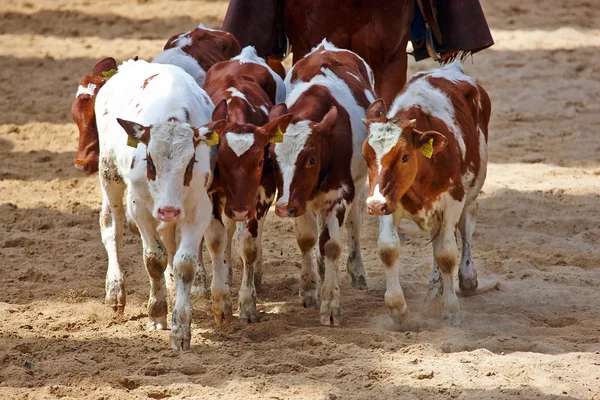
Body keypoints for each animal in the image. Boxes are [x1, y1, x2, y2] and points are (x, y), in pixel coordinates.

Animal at [95, 59, 226, 350]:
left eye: (190, 163)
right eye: (150, 161)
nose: (168, 209)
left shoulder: (199, 207)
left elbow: (184, 264)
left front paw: (180, 329)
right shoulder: (139, 206)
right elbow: (154, 259)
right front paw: (156, 312)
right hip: (109, 174)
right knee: (111, 228)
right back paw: (114, 290)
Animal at [203, 47, 290, 324]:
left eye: (261, 160)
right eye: (220, 162)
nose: (241, 210)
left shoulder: (262, 196)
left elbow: (248, 245)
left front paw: (248, 304)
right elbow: (216, 240)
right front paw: (221, 301)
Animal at [268, 40, 372, 326]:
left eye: (311, 159)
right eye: (271, 157)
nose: (283, 208)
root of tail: (328, 47)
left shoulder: (340, 194)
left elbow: (332, 244)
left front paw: (330, 305)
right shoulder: (299, 199)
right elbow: (307, 239)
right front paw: (308, 289)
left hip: (359, 184)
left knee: (355, 223)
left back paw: (357, 271)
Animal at [364, 61, 490, 324]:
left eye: (404, 156)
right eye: (366, 155)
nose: (373, 205)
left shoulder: (453, 200)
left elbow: (447, 254)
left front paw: (450, 311)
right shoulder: (389, 202)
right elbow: (388, 249)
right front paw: (398, 309)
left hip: (471, 194)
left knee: (466, 225)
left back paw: (467, 276)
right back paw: (434, 288)